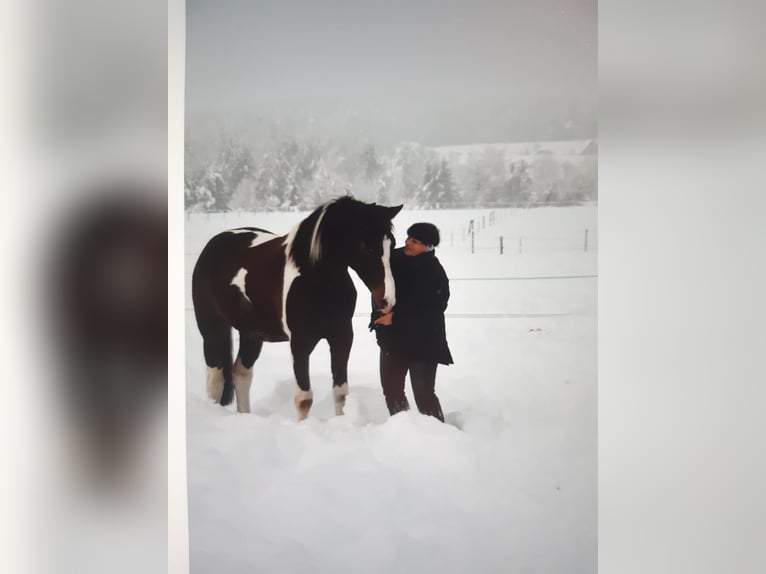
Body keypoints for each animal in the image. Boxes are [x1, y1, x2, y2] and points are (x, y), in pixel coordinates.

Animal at [192, 196, 403, 420]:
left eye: (392, 245)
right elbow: (304, 399)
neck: (317, 280)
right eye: (368, 248)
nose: (387, 301)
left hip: (252, 334)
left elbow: (340, 393)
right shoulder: (300, 343)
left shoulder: (342, 337)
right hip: (212, 329)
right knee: (216, 379)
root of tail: (215, 243)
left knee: (241, 374)